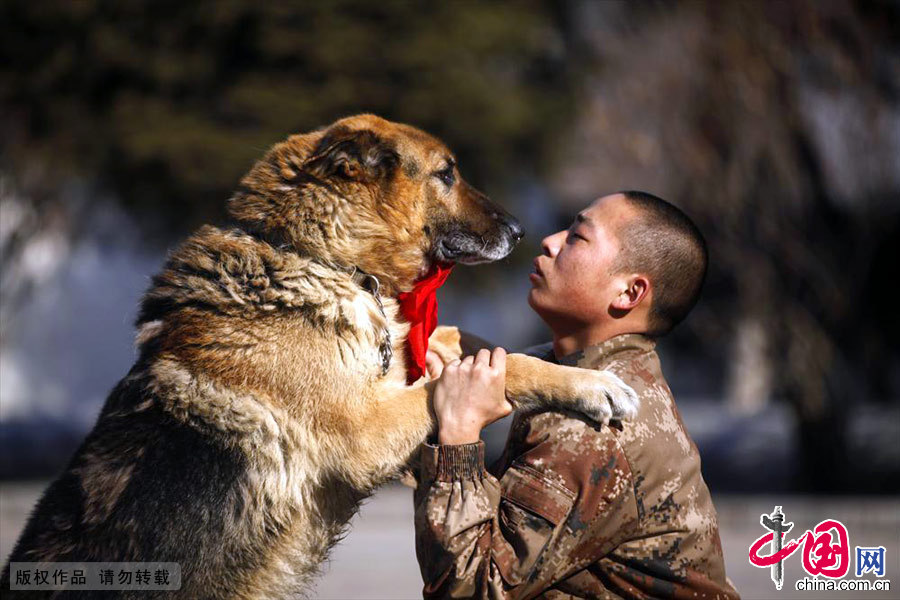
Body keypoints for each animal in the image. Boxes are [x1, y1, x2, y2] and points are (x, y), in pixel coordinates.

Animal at [0, 113, 636, 596]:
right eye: (446, 174)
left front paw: (566, 360)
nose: (522, 230)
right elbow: (476, 370)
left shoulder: (398, 362)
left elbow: (466, 341)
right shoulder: (367, 429)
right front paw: (595, 386)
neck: (318, 256)